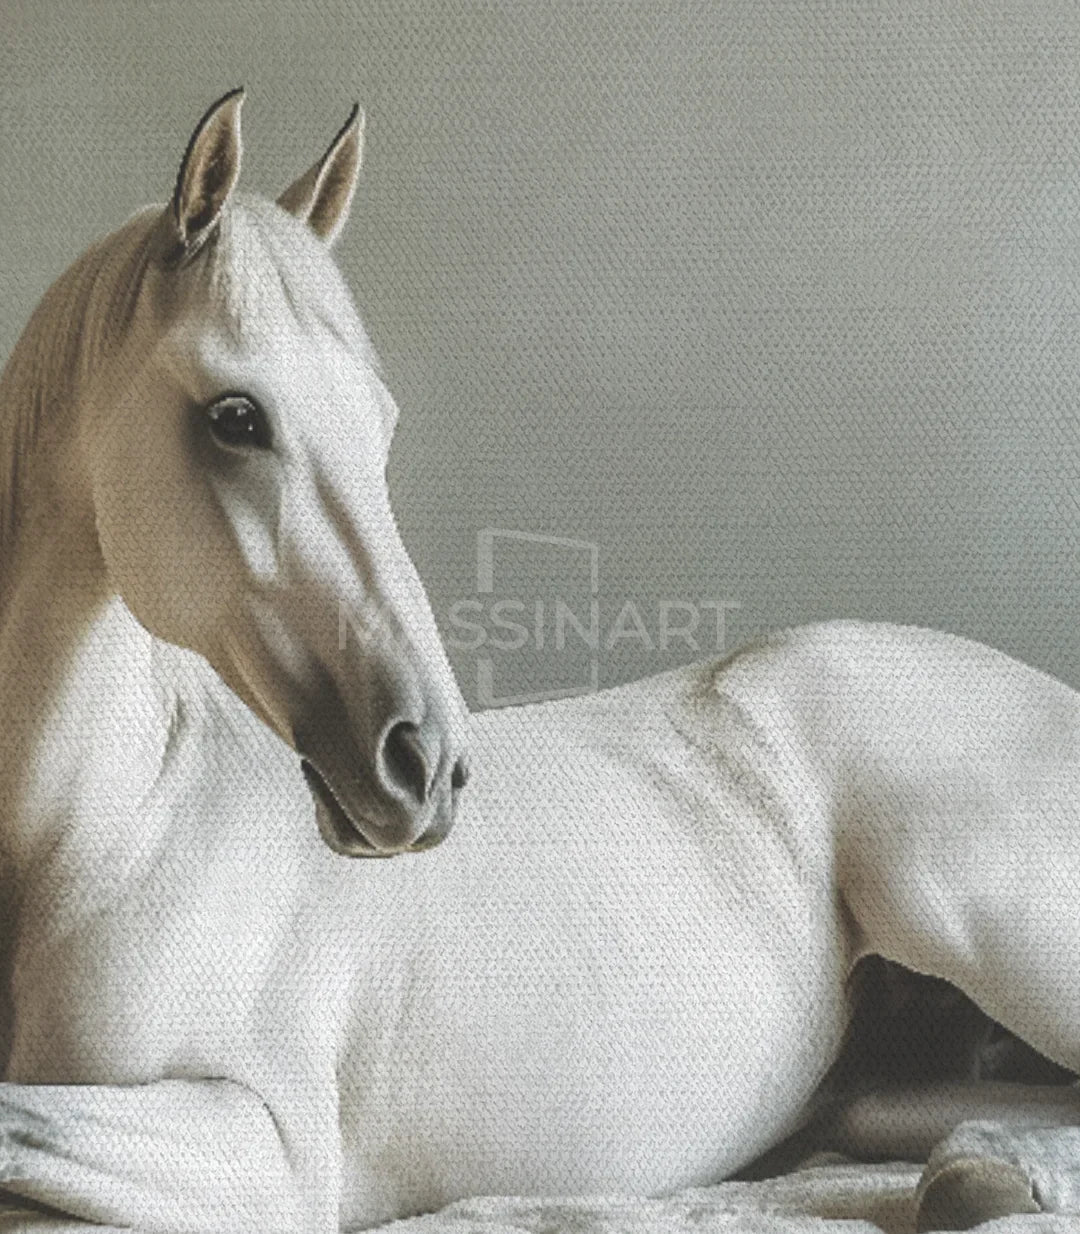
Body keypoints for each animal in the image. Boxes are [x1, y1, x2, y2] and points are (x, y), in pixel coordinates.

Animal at [1, 88, 1079, 1233]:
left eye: (381, 424)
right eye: (235, 416)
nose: (425, 766)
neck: (110, 814)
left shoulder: (272, 1147)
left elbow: (17, 1121)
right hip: (872, 1095)